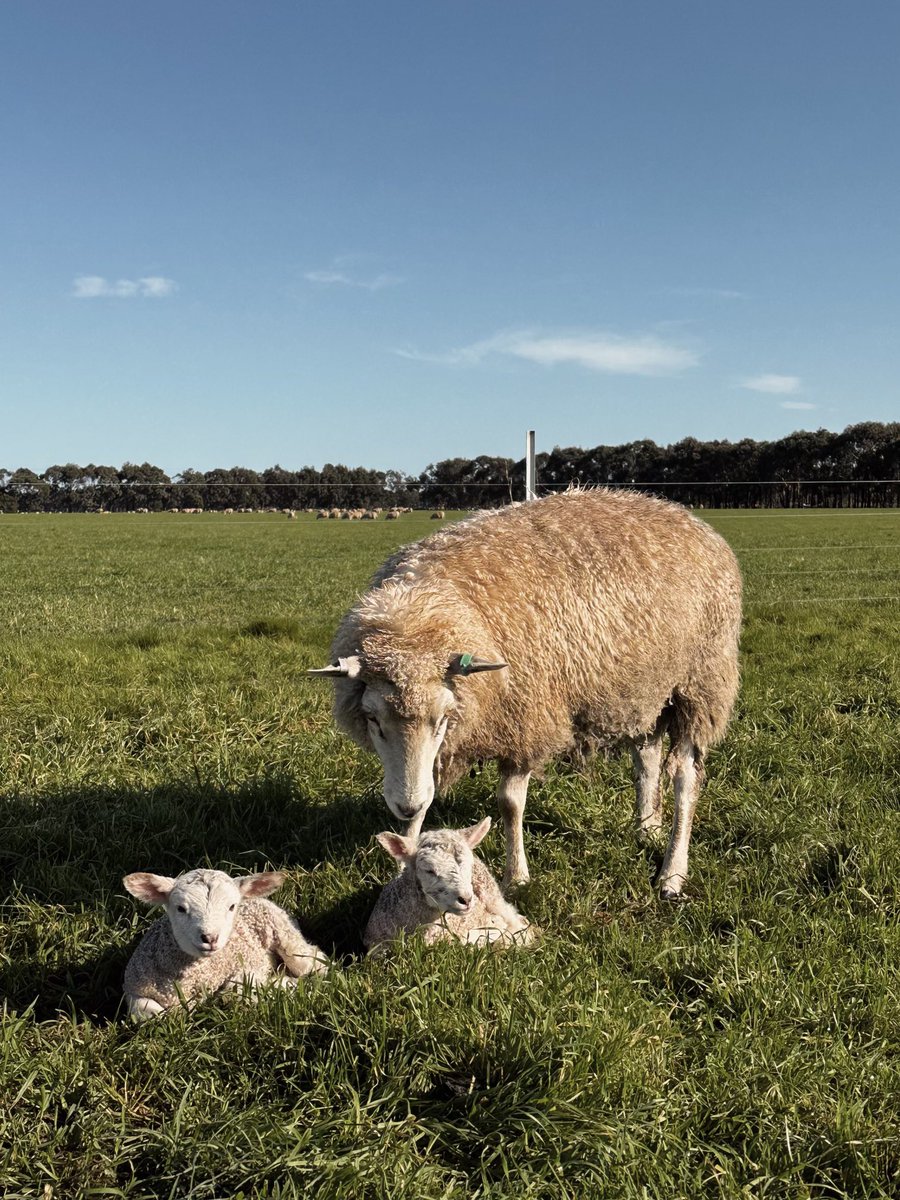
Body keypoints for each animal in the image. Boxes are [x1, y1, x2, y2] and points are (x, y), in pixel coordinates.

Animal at [122, 867, 329, 1021]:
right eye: (180, 908)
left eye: (231, 907)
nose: (210, 938)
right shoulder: (134, 987)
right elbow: (149, 1013)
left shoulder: (248, 966)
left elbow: (236, 994)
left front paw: (283, 984)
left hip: (287, 938)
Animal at [310, 488, 742, 900]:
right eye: (372, 719)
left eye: (443, 717)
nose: (404, 804)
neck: (428, 609)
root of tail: (690, 518)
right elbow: (427, 796)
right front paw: (408, 858)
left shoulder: (524, 719)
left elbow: (510, 803)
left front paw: (516, 876)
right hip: (647, 689)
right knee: (647, 760)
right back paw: (647, 826)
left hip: (699, 685)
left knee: (685, 777)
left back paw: (672, 872)